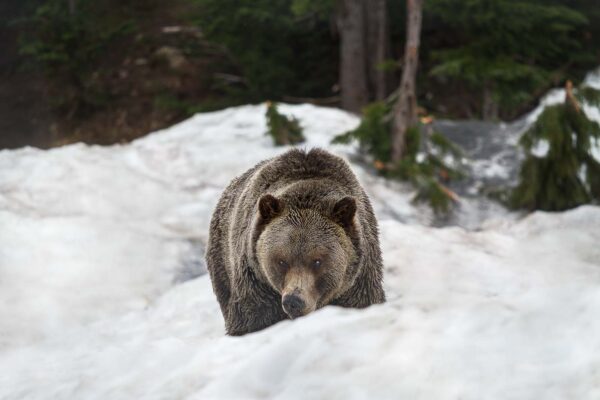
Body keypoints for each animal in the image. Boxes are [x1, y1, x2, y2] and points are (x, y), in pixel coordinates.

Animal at [206, 147, 384, 334]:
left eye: (317, 261)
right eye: (281, 261)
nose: (294, 301)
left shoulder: (358, 281)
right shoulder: (256, 282)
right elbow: (251, 319)